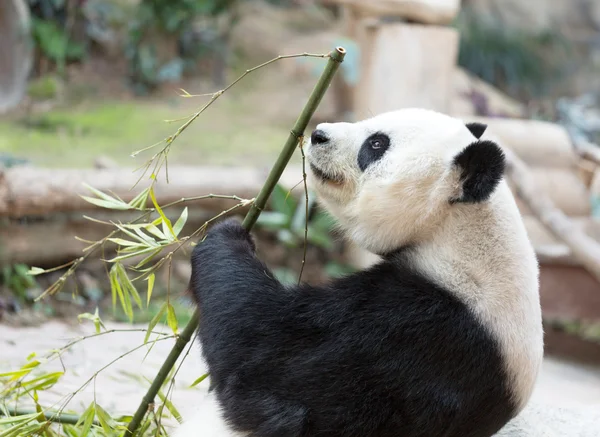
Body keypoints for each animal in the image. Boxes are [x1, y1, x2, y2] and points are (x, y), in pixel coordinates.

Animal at [172, 106, 544, 436]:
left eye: (377, 144)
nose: (318, 134)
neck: (459, 236)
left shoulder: (412, 336)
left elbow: (256, 361)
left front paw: (228, 235)